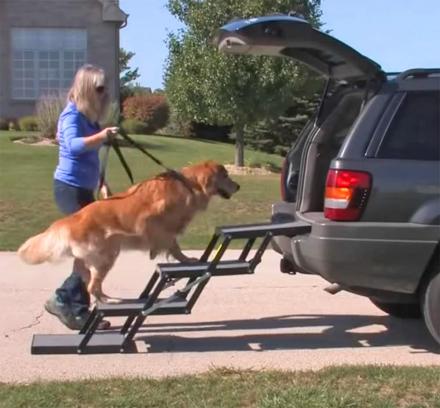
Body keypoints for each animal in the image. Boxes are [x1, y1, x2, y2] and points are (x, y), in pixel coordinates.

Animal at [18, 159, 241, 302]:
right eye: (225, 175)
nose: (238, 186)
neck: (189, 185)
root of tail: (71, 220)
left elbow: (172, 244)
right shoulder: (153, 220)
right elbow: (172, 244)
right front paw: (184, 259)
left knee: (88, 281)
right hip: (107, 256)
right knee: (92, 286)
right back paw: (109, 301)